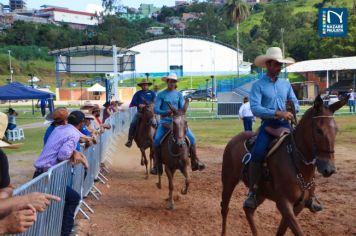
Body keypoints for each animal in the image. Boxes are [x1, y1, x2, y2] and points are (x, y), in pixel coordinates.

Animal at [221, 94, 350, 236]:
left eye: (336, 130)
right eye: (318, 130)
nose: (329, 169)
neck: (297, 164)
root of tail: (234, 140)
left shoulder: (298, 206)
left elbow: (282, 231)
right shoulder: (284, 203)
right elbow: (297, 231)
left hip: (260, 193)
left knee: (248, 209)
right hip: (228, 181)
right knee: (225, 208)